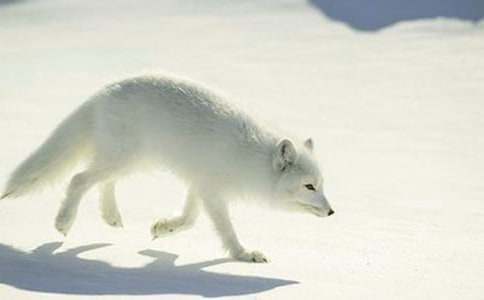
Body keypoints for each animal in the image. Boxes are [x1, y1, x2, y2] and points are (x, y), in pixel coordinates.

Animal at [0, 74, 332, 262]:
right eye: (309, 186)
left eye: (322, 184)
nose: (331, 212)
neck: (250, 157)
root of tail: (105, 91)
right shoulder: (212, 190)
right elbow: (224, 229)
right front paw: (243, 255)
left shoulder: (200, 183)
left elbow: (189, 219)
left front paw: (163, 229)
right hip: (125, 158)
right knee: (79, 179)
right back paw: (64, 222)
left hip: (131, 160)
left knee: (102, 182)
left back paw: (111, 216)